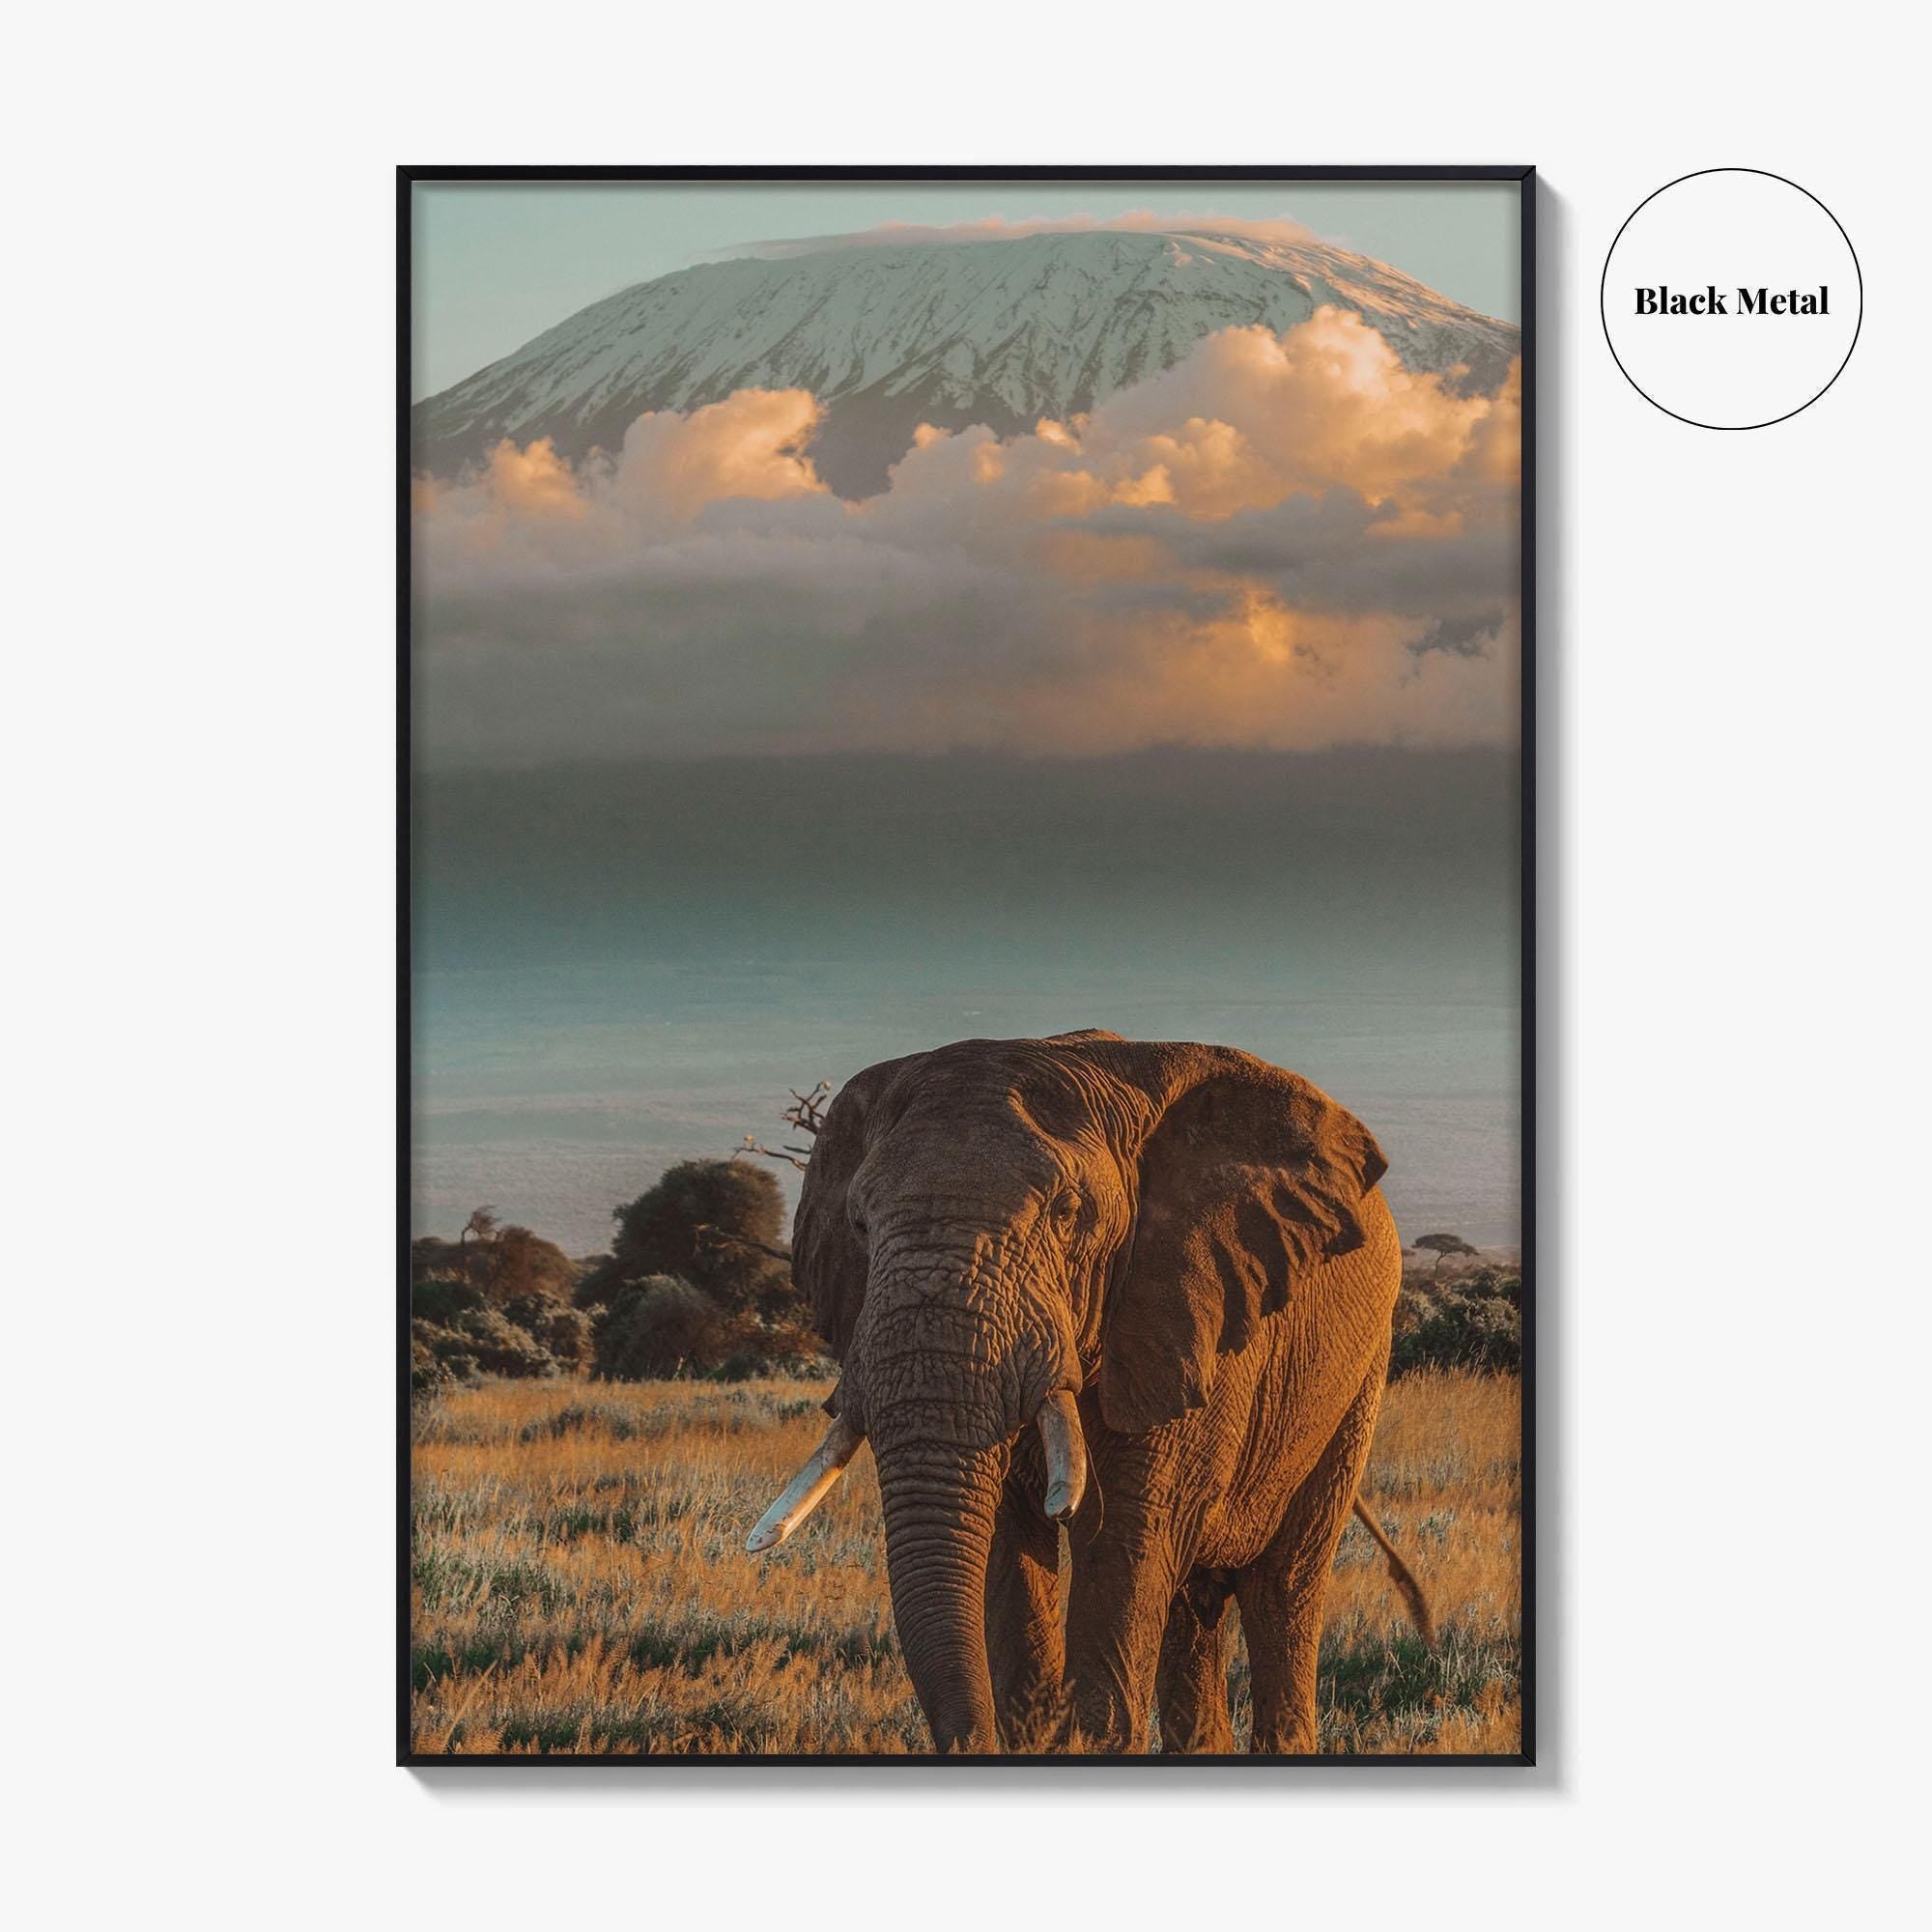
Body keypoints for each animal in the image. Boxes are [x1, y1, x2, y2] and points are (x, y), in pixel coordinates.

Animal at [746, 1031, 1432, 1754]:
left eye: (1068, 1214)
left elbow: (1123, 1540)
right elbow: (1008, 1541)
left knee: (1285, 1584)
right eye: (859, 1227)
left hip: (1358, 1379)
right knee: (1194, 1604)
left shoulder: (1188, 1310)